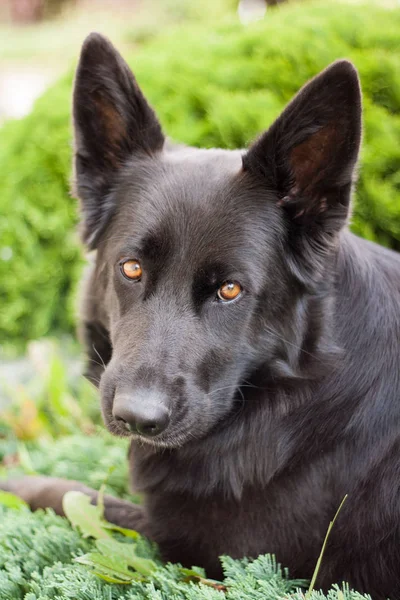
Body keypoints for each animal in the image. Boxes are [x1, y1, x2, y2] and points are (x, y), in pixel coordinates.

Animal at [5, 34, 400, 600]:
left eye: (230, 290)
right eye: (131, 268)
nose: (137, 417)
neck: (299, 387)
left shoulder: (194, 548)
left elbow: (77, 496)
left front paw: (18, 483)